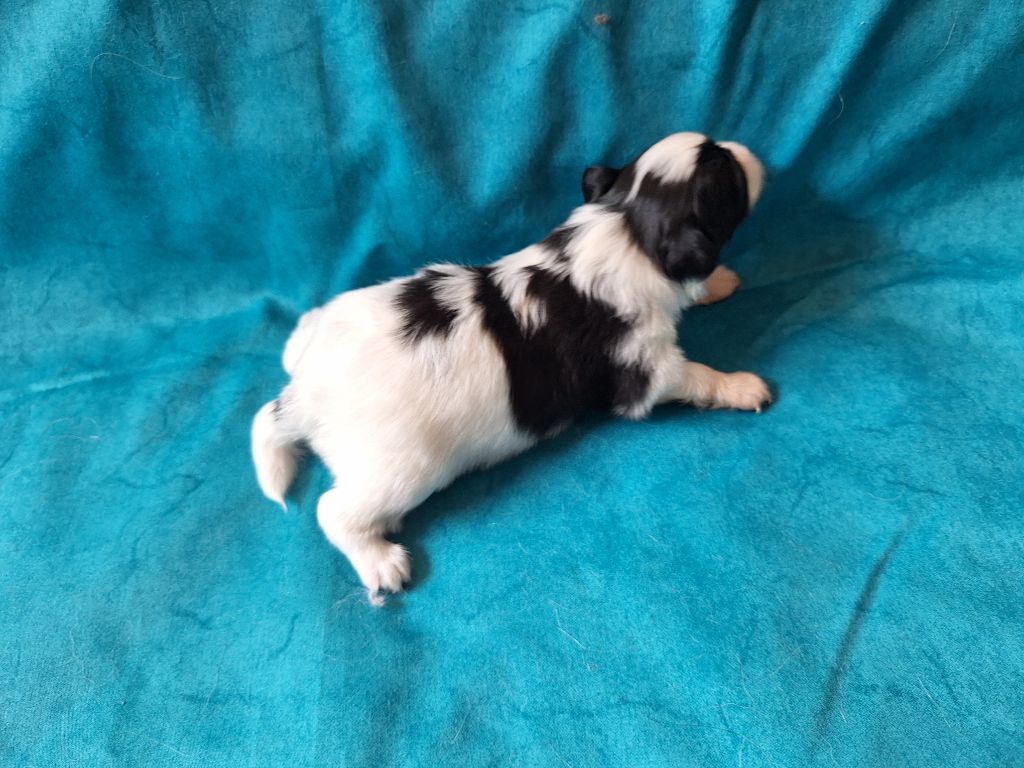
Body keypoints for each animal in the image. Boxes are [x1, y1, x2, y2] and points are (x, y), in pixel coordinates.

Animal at [252, 132, 769, 604]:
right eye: (727, 176)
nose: (746, 148)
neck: (622, 226)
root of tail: (300, 396)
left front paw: (718, 282)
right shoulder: (646, 372)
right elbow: (698, 374)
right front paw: (743, 386)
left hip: (317, 333)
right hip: (402, 468)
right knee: (333, 510)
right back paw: (378, 559)